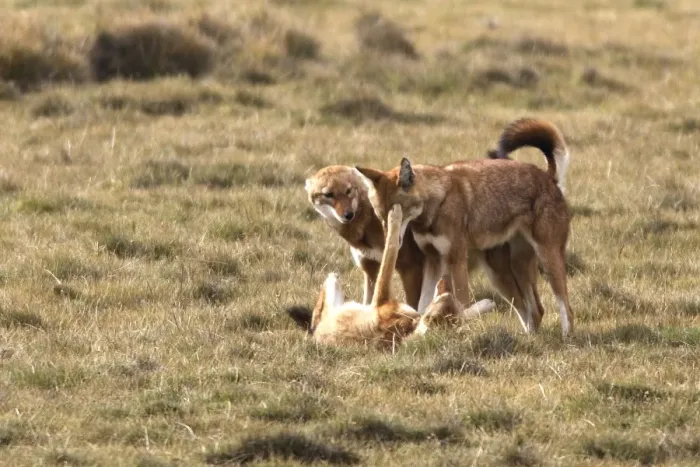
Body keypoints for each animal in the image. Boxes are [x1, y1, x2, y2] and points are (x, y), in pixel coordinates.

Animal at [356, 118, 574, 338]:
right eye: (380, 216)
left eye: (397, 213)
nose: (389, 242)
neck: (438, 202)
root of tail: (548, 177)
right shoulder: (433, 261)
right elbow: (422, 304)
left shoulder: (456, 260)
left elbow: (461, 303)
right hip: (506, 275)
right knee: (535, 310)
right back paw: (530, 337)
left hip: (547, 262)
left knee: (565, 308)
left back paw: (566, 337)